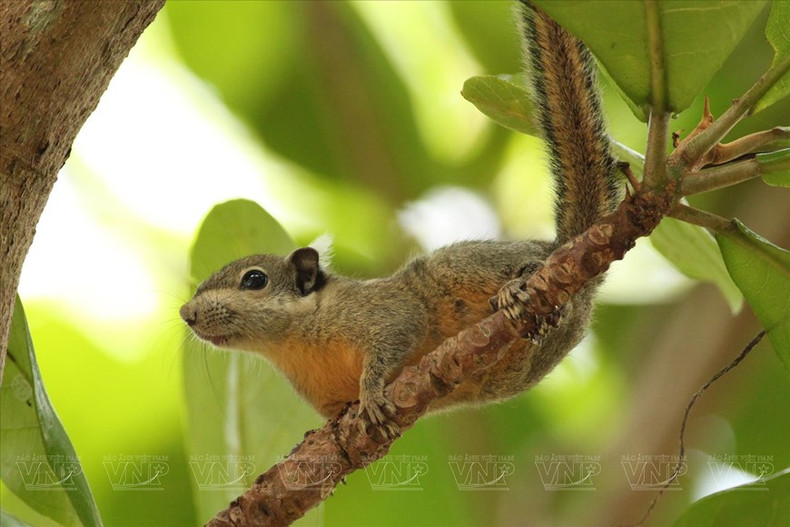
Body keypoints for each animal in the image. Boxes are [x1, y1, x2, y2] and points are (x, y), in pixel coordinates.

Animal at [180, 1, 619, 438]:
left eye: (254, 280)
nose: (186, 314)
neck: (293, 344)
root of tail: (569, 247)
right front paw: (330, 434)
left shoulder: (382, 312)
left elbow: (395, 338)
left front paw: (372, 392)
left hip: (464, 265)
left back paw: (519, 284)